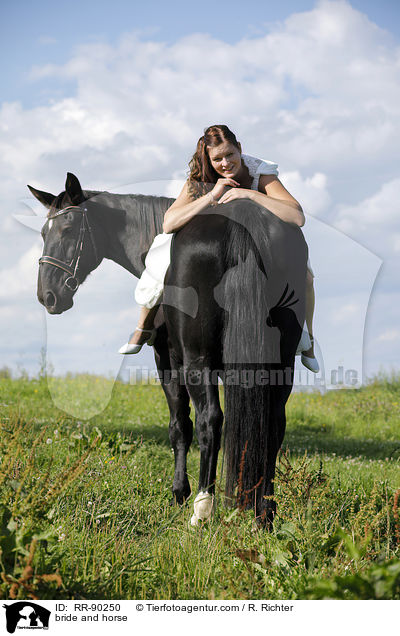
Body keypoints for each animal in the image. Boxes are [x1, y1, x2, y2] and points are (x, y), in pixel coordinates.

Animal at [29, 171, 308, 524]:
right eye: (43, 232)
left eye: (67, 230)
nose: (47, 295)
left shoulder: (167, 359)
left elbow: (180, 426)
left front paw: (180, 492)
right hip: (281, 365)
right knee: (272, 424)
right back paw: (264, 510)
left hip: (196, 361)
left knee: (210, 421)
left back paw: (203, 507)